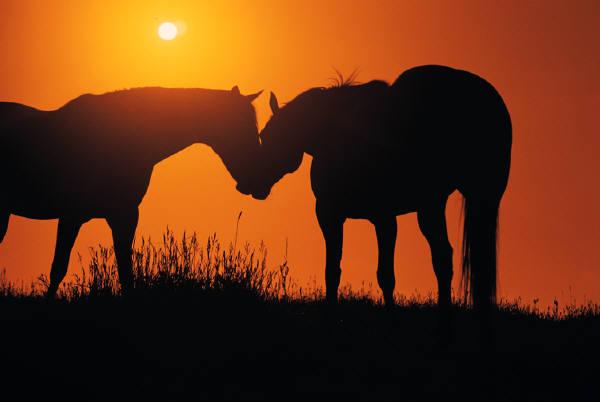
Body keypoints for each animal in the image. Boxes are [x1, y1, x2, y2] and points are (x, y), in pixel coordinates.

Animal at [0, 85, 262, 298]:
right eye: (242, 128)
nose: (255, 183)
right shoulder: (71, 215)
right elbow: (58, 268)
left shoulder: (125, 215)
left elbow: (126, 270)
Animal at [246, 66, 512, 316]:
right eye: (263, 134)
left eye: (271, 136)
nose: (252, 182)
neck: (338, 139)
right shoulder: (329, 215)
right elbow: (332, 271)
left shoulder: (384, 218)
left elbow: (386, 275)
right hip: (431, 206)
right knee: (444, 257)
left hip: (480, 198)